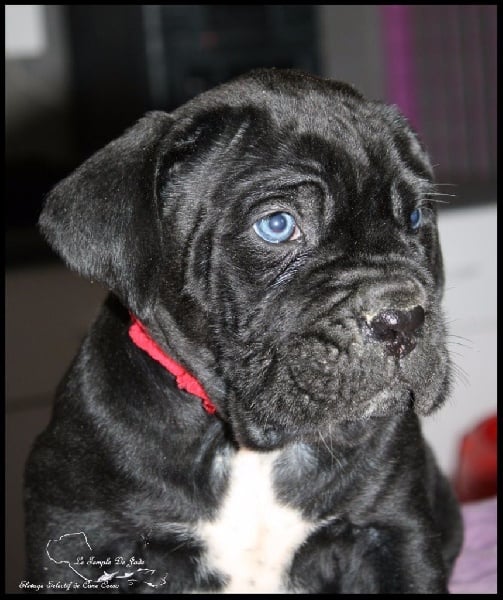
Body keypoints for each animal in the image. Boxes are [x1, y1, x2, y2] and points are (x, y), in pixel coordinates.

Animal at [24, 68, 462, 593]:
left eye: (415, 217)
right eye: (277, 225)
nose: (403, 319)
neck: (250, 453)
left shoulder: (392, 531)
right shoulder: (77, 534)